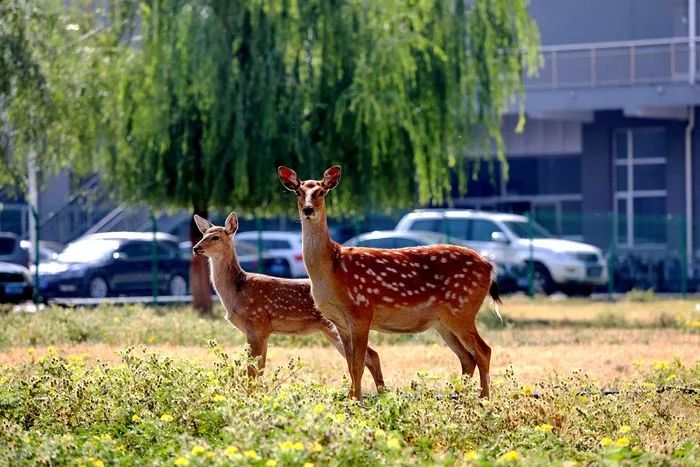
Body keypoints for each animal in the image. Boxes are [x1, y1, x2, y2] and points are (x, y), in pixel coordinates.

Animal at [191, 211, 386, 388]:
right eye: (203, 235)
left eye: (215, 237)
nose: (195, 248)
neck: (237, 291)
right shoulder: (265, 331)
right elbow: (260, 370)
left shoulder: (256, 323)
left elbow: (252, 372)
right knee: (372, 356)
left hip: (337, 326)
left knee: (370, 356)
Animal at [278, 166, 498, 400]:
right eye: (298, 192)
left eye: (321, 192)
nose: (308, 209)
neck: (331, 270)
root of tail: (489, 266)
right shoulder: (339, 322)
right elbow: (349, 365)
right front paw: (350, 399)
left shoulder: (361, 311)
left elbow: (357, 365)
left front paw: (357, 400)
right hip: (443, 321)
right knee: (467, 357)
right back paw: (461, 397)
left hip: (462, 308)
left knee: (483, 351)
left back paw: (484, 399)